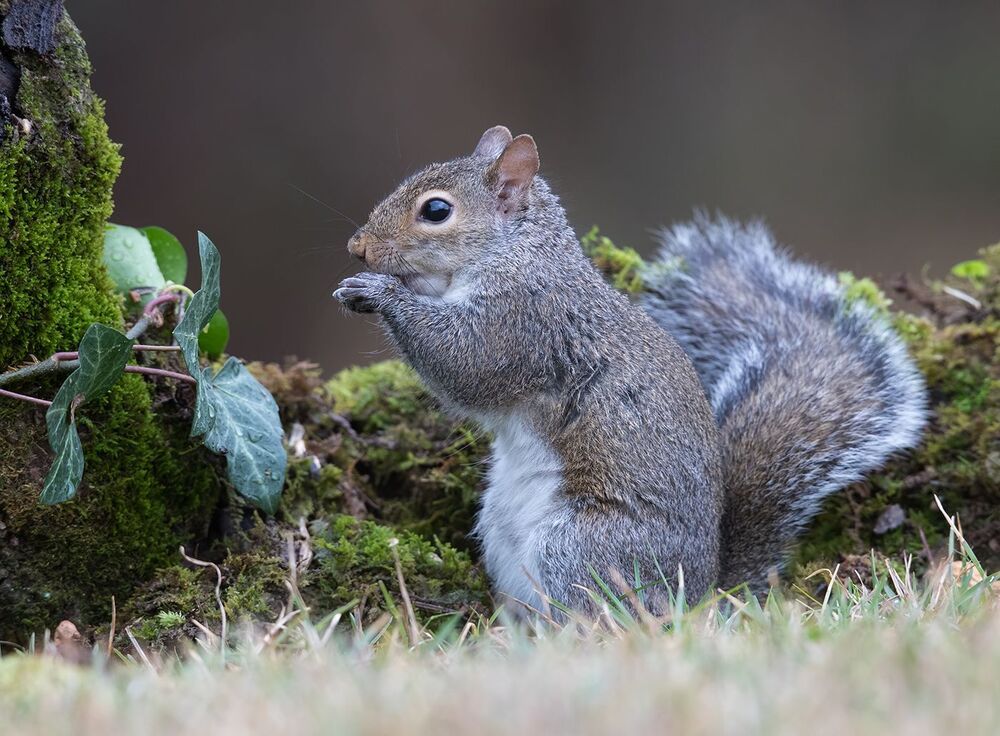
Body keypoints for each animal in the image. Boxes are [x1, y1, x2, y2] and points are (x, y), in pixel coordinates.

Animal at [334, 125, 927, 614]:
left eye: (436, 211)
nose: (357, 247)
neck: (518, 255)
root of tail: (701, 597)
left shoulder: (523, 323)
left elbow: (465, 364)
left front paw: (380, 293)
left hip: (583, 548)